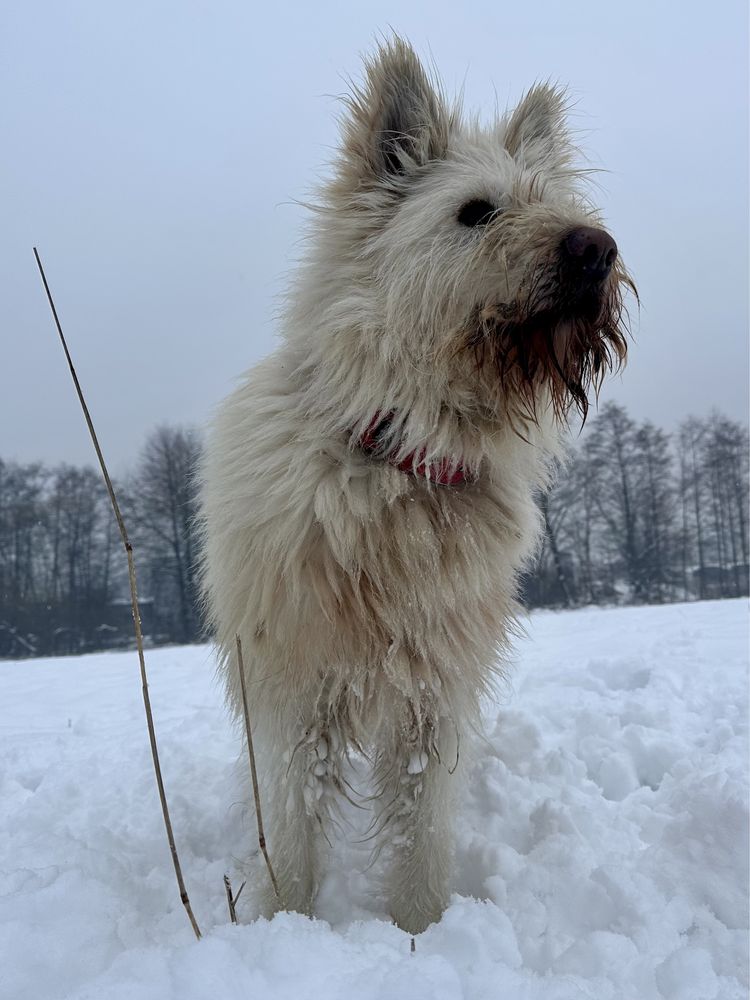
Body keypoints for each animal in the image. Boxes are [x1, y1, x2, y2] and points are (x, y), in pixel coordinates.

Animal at [197, 35, 632, 932]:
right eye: (475, 212)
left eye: (552, 203)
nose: (596, 250)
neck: (398, 463)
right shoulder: (299, 694)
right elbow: (292, 836)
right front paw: (283, 925)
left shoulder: (433, 696)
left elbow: (422, 833)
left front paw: (421, 935)